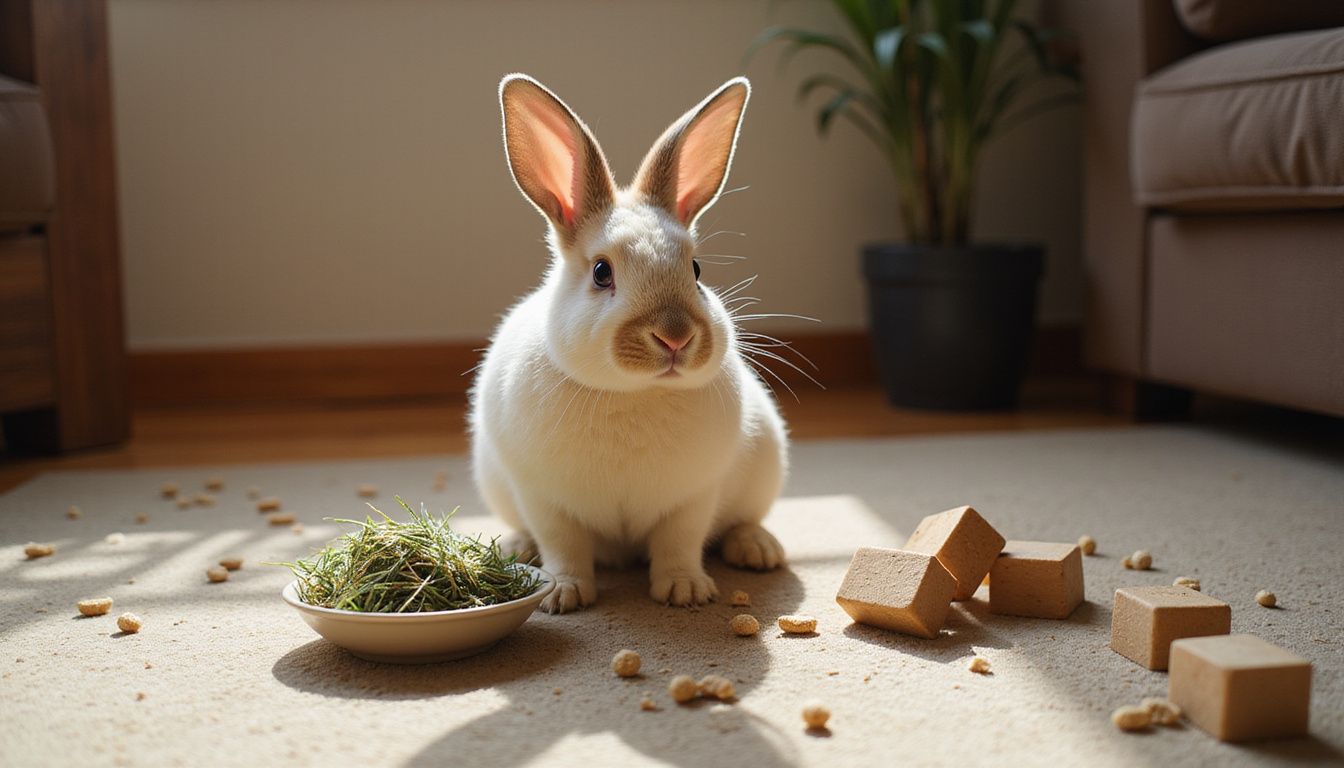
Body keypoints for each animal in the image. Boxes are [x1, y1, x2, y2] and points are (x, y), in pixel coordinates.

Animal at [469, 73, 788, 614]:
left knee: (742, 521)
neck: (636, 393)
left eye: (696, 269)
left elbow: (679, 543)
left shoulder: (693, 497)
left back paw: (758, 550)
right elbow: (564, 546)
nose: (676, 336)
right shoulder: (544, 499)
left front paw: (686, 592)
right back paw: (517, 547)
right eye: (602, 272)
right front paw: (563, 595)